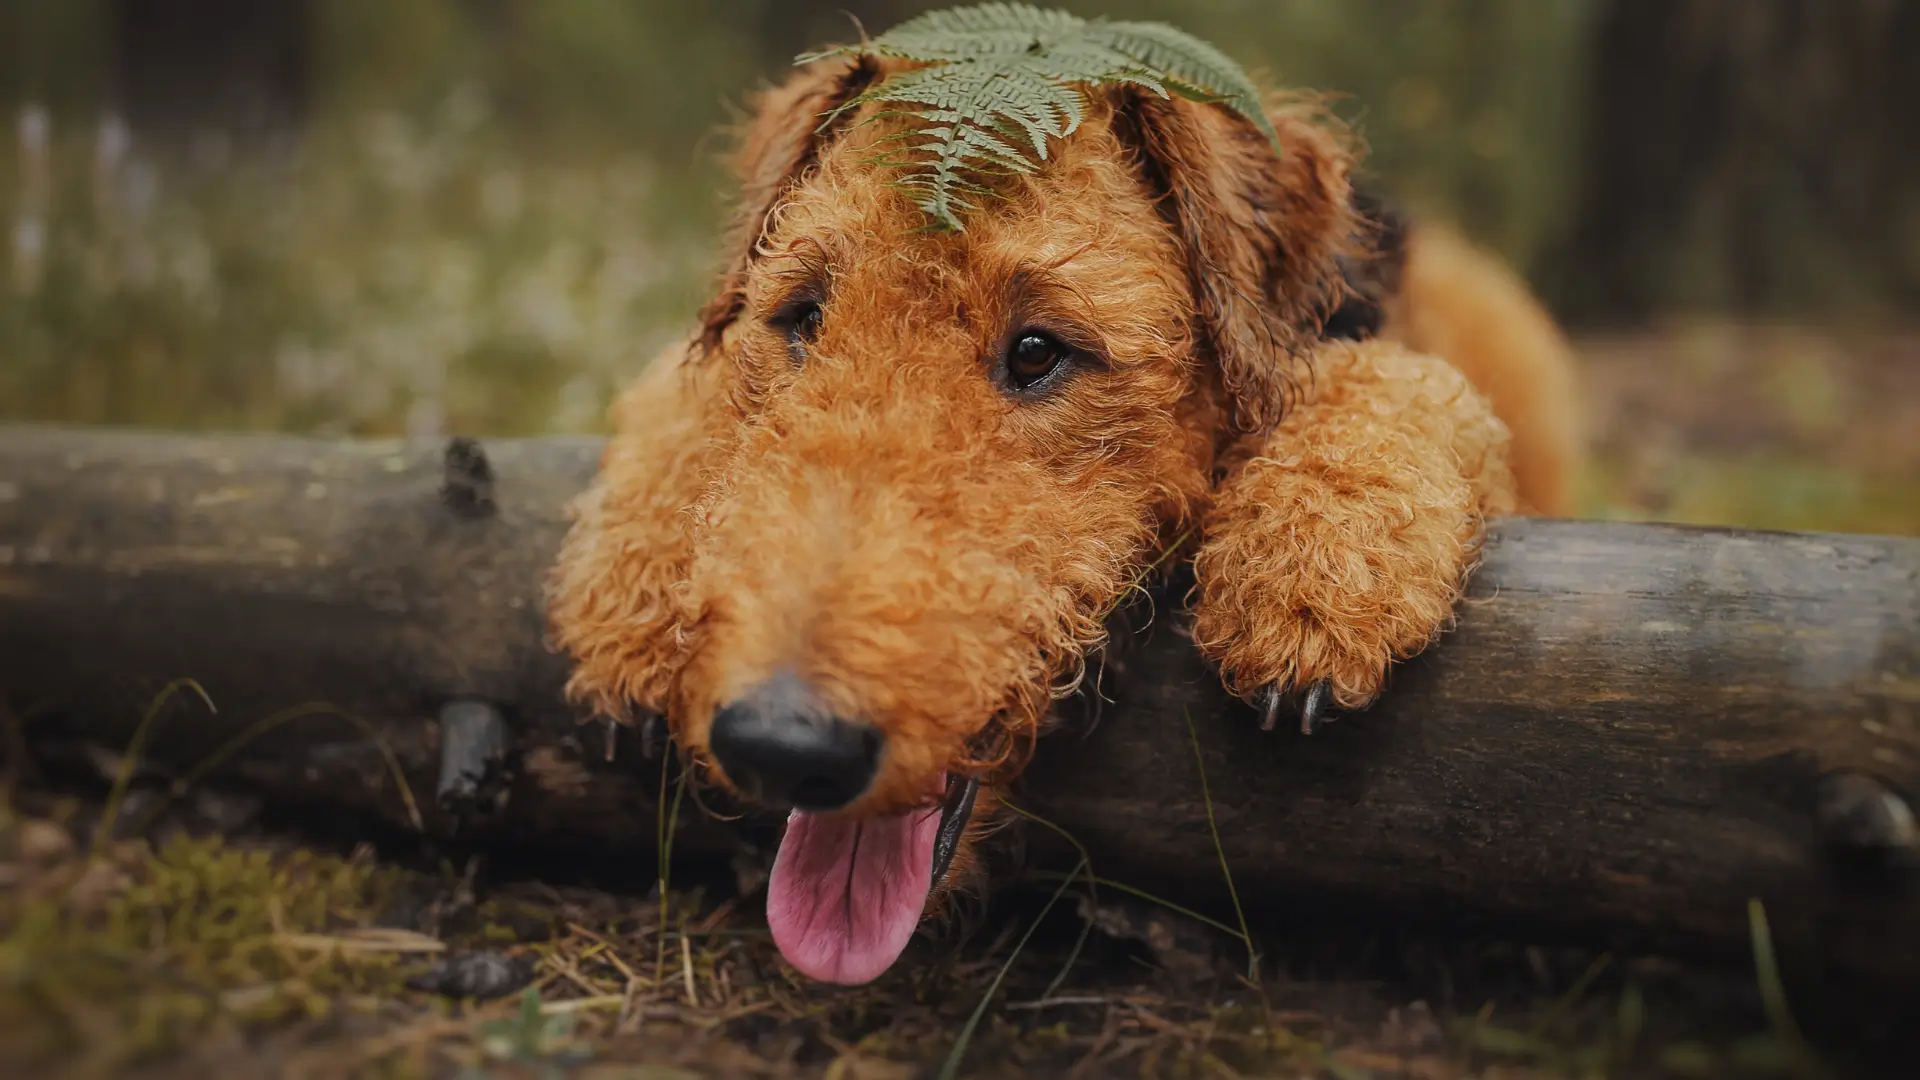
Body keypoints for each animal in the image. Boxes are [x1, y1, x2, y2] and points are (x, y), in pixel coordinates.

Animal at [541, 56, 1574, 983]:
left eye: (1039, 350)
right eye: (801, 315)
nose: (783, 745)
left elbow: (1406, 381)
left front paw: (1311, 597)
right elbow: (685, 391)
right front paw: (630, 614)